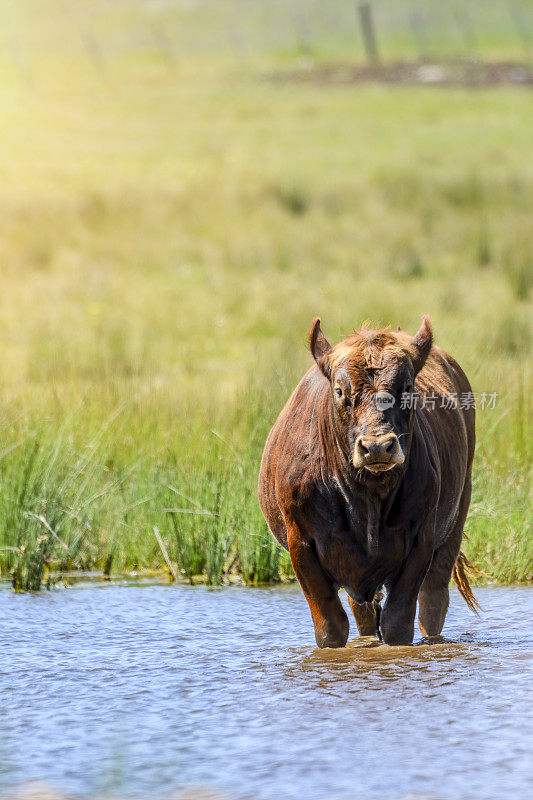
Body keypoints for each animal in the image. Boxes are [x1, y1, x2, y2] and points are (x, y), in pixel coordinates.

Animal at [256, 316, 476, 648]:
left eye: (407, 387)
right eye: (339, 391)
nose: (377, 447)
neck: (366, 498)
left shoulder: (421, 540)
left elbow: (398, 623)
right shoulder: (301, 544)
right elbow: (331, 627)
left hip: (454, 521)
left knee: (433, 600)